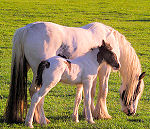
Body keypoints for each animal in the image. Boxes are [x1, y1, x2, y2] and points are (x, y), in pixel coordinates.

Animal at [4, 22, 145, 124]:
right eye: (137, 91)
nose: (131, 112)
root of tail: (26, 29)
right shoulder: (105, 70)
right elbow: (103, 91)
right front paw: (101, 114)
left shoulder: (90, 76)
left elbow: (90, 93)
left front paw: (86, 113)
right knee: (36, 93)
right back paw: (41, 120)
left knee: (33, 91)